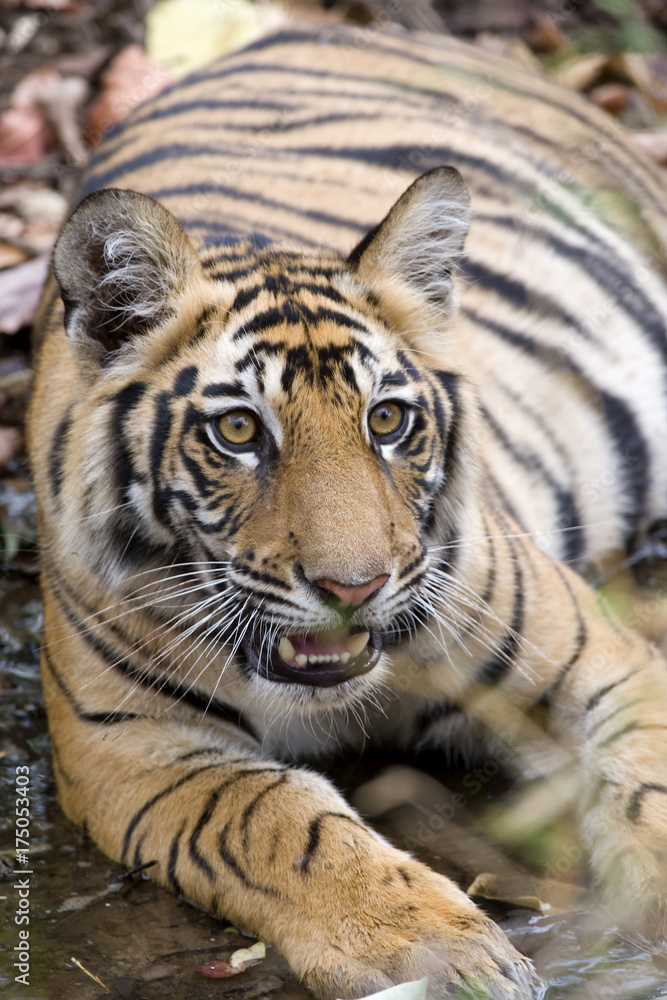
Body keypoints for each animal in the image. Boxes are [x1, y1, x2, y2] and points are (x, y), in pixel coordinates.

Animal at [28, 21, 667, 1000]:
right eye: (239, 431)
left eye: (388, 420)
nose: (353, 587)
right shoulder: (130, 747)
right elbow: (275, 823)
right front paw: (443, 950)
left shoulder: (604, 659)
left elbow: (647, 781)